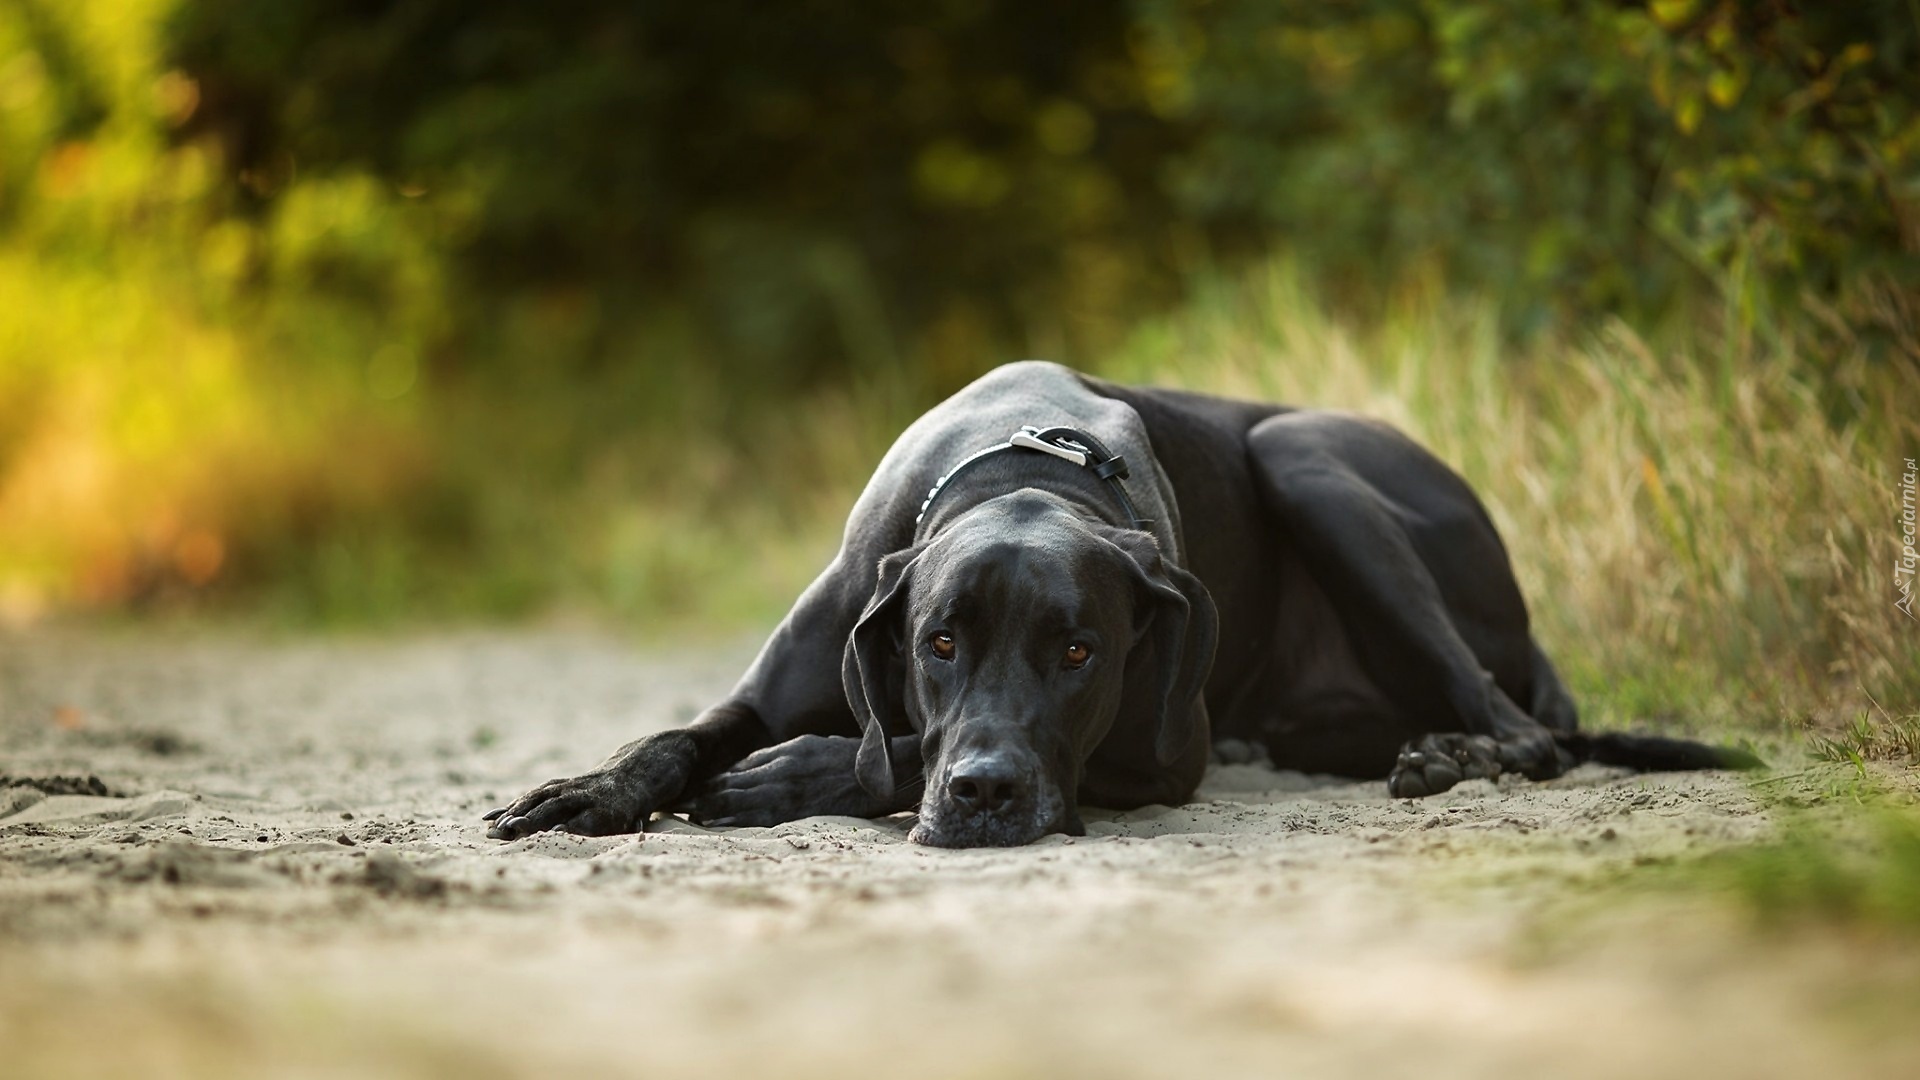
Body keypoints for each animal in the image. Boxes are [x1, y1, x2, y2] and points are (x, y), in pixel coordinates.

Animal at [487, 363, 1758, 849]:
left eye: (1081, 653)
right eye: (937, 642)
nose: (988, 797)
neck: (1022, 469)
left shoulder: (1161, 753)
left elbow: (879, 753)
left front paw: (795, 776)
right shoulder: (781, 674)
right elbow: (677, 738)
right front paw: (587, 790)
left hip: (1308, 458)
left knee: (1528, 731)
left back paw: (1459, 751)